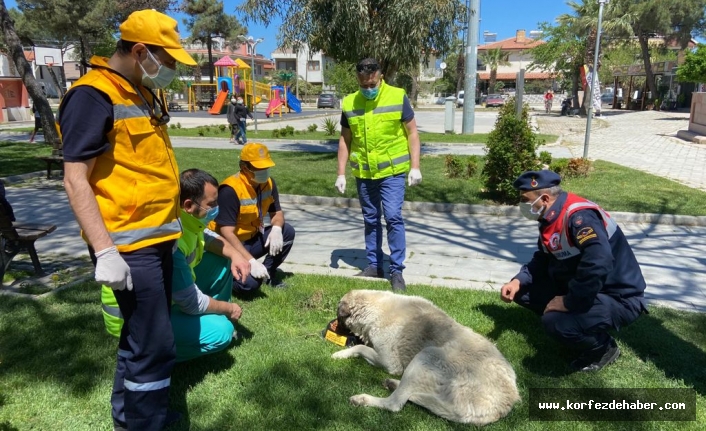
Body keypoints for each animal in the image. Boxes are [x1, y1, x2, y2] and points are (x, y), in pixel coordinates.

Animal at [330, 288, 516, 426]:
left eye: (339, 316)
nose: (332, 326)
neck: (377, 308)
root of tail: (502, 406)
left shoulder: (389, 362)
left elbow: (361, 347)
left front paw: (341, 353)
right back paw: (393, 384)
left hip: (427, 355)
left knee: (395, 403)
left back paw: (362, 399)